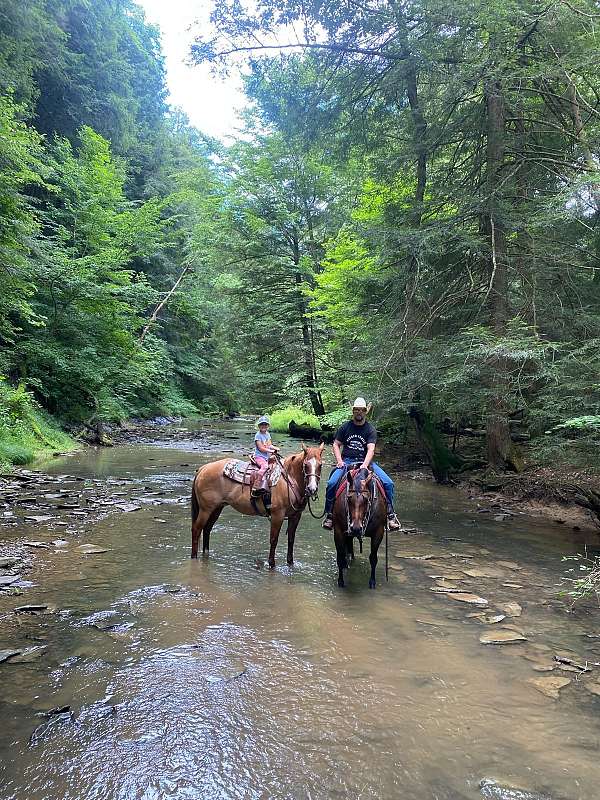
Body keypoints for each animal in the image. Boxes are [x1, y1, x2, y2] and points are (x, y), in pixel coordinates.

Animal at [191, 444, 324, 568]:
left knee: (207, 529)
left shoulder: (296, 515)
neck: (289, 480)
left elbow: (291, 539)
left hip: (217, 508)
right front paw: (271, 564)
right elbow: (274, 540)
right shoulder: (278, 515)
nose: (312, 489)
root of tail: (203, 468)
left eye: (320, 465)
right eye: (306, 465)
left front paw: (290, 563)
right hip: (205, 509)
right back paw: (194, 556)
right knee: (197, 529)